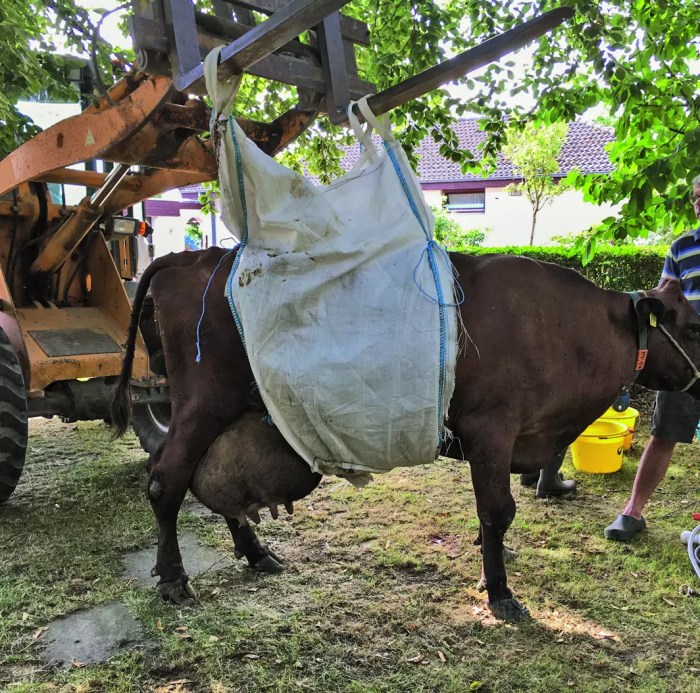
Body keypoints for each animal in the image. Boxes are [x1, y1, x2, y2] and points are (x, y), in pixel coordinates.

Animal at [110, 246, 700, 620]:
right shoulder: (493, 430)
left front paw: (492, 562)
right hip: (202, 401)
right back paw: (173, 578)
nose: (697, 379)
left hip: (225, 411)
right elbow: (499, 510)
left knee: (217, 486)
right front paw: (499, 592)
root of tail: (189, 257)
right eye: (693, 324)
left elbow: (489, 513)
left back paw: (256, 554)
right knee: (167, 479)